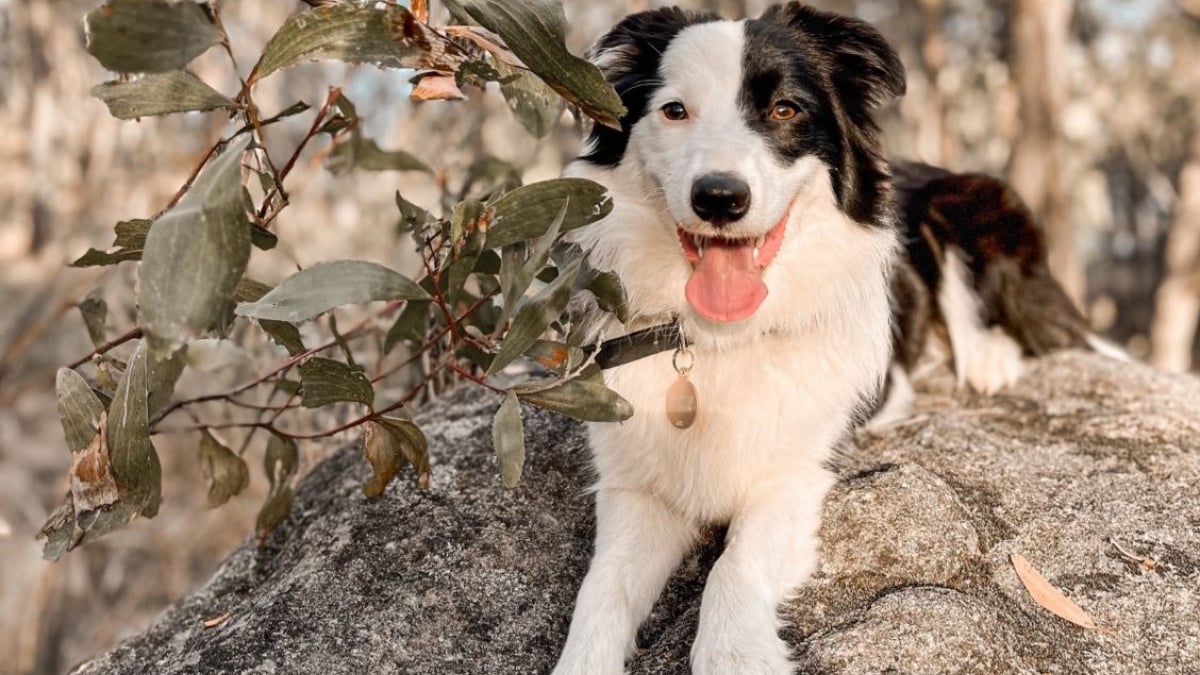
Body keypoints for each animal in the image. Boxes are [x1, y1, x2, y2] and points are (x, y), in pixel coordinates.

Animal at [552, 2, 1104, 667]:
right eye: (675, 110)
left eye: (786, 110)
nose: (720, 198)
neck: (720, 338)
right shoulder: (636, 486)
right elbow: (600, 590)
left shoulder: (798, 472)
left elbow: (733, 568)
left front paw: (737, 655)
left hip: (964, 208)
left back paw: (988, 363)